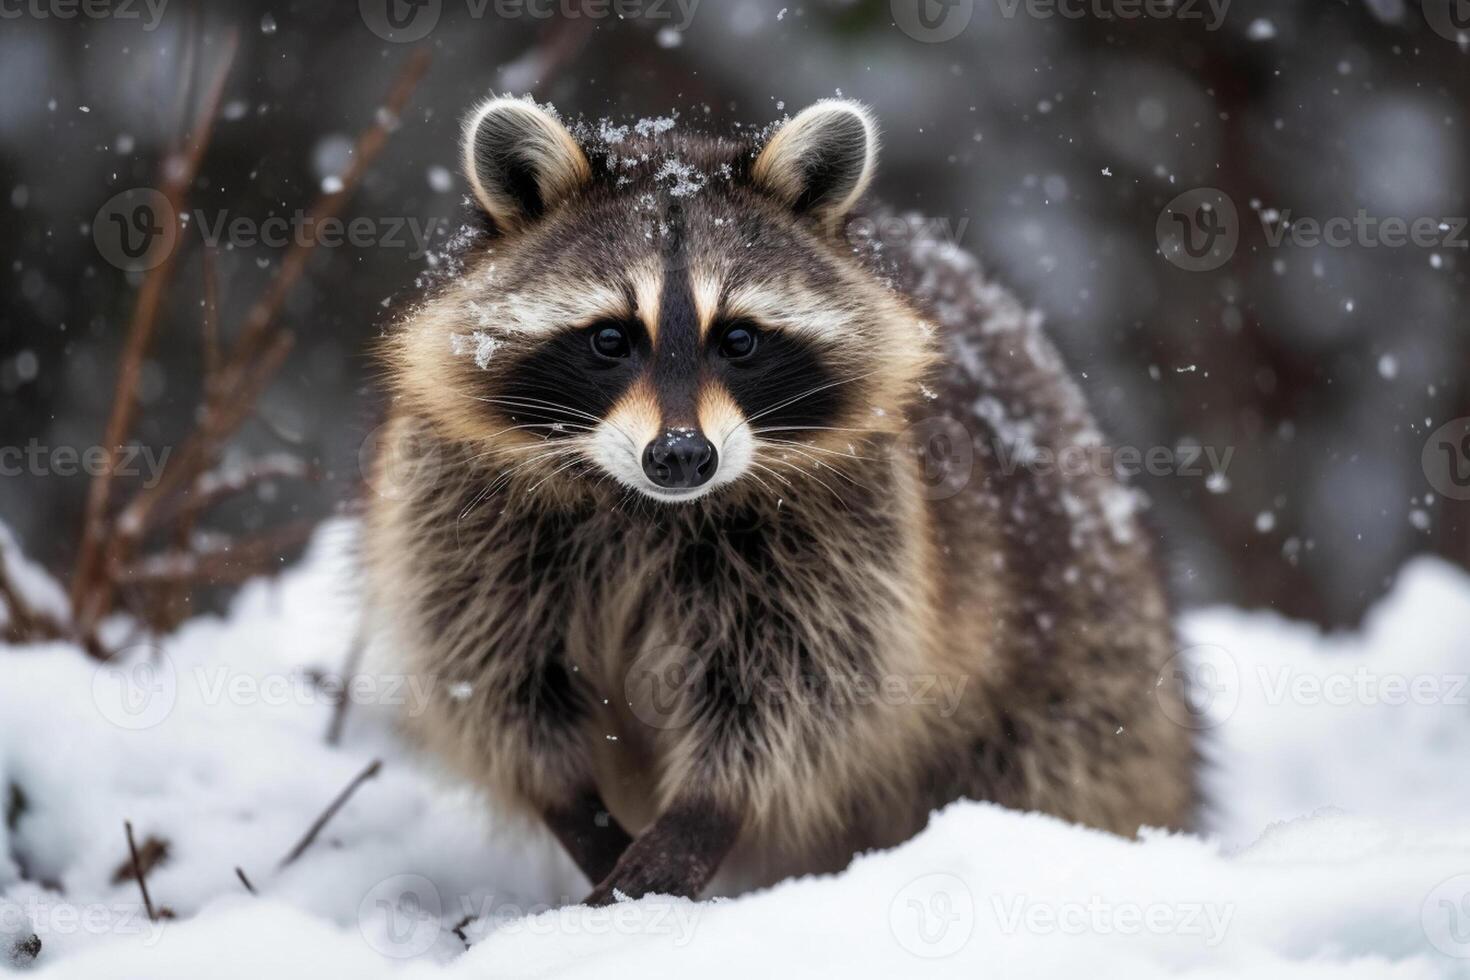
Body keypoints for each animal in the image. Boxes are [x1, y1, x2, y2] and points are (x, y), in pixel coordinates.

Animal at [364, 95, 1193, 899]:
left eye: (738, 340)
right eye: (609, 339)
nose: (681, 456)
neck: (648, 511)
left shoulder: (849, 528)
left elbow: (793, 691)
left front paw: (699, 821)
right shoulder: (462, 510)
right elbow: (496, 682)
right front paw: (582, 817)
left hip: (1078, 660)